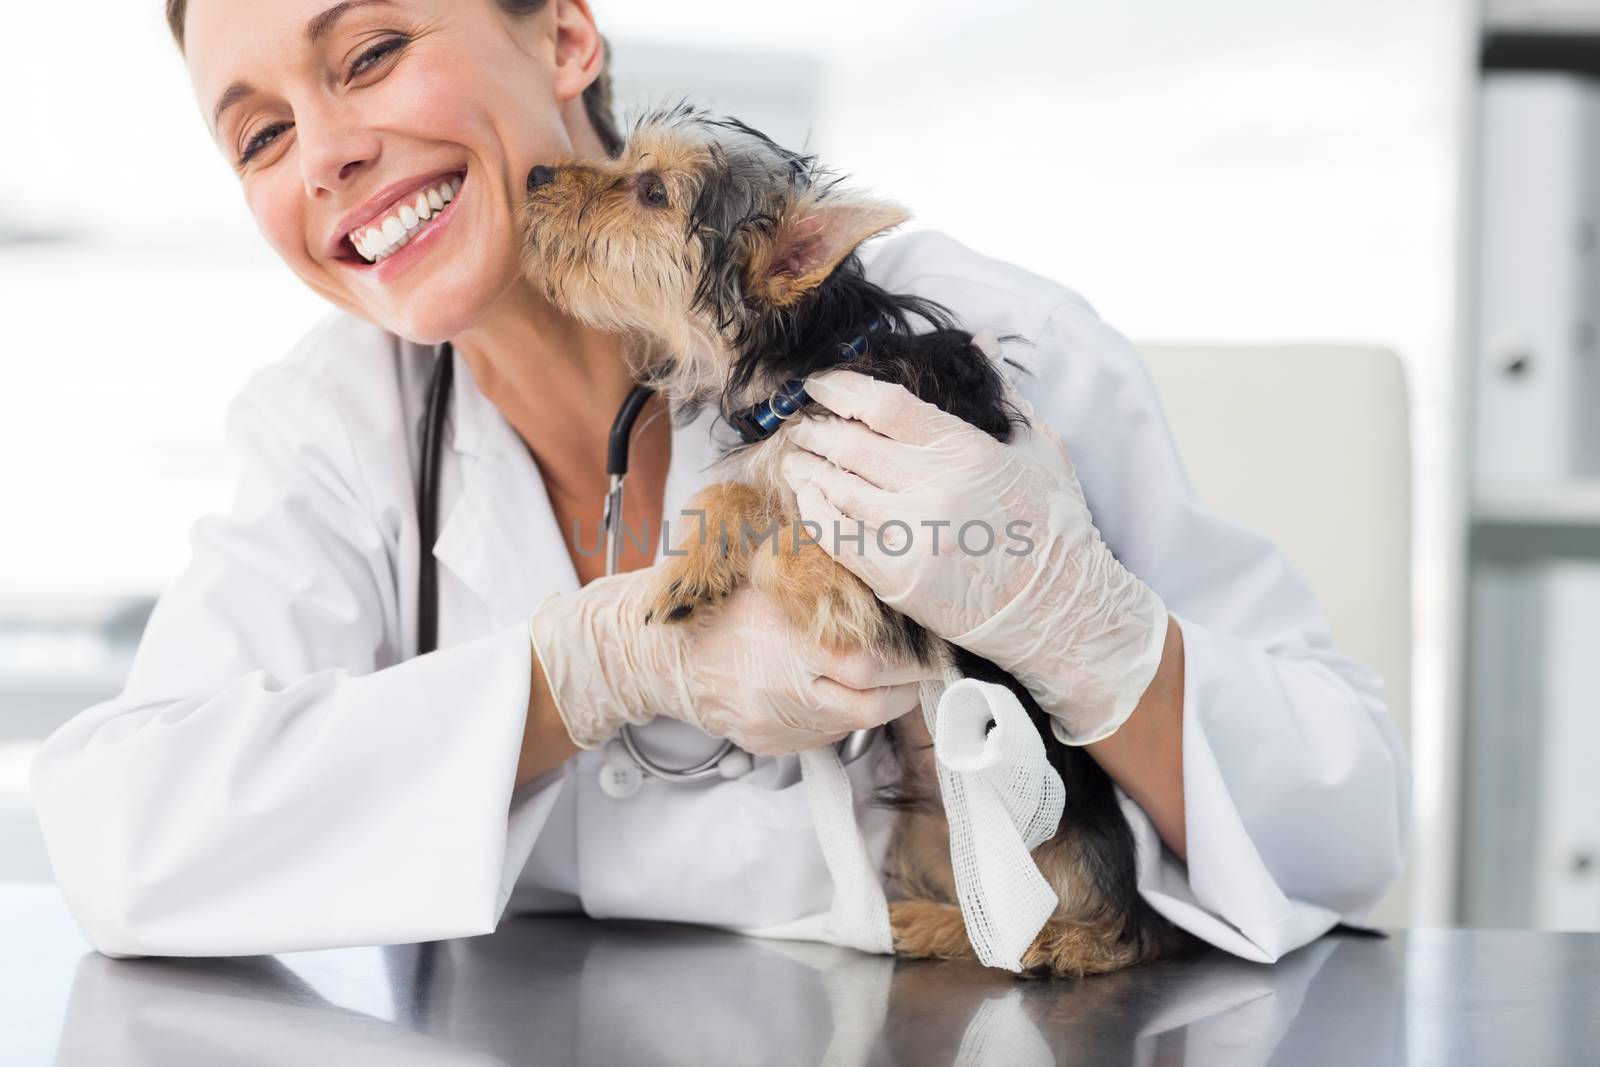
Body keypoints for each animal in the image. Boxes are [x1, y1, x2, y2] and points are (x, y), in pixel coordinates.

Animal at [515, 102, 1190, 979]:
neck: (806, 367)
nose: (534, 174)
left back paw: (1042, 938)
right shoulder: (775, 456)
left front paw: (824, 590)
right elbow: (737, 489)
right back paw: (924, 921)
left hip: (1068, 845)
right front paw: (690, 571)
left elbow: (802, 545)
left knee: (1098, 934)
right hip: (928, 835)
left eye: (653, 191)